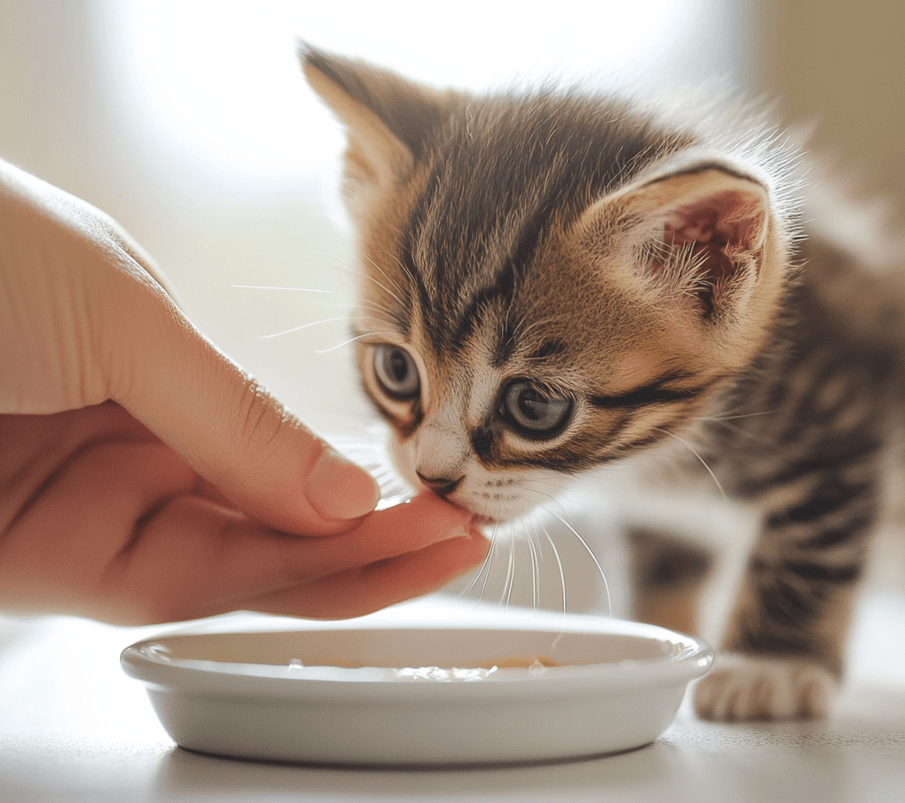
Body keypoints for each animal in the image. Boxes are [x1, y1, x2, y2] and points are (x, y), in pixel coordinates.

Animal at [304, 44, 904, 724]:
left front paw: (771, 665)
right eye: (397, 371)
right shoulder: (663, 518)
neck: (663, 451)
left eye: (534, 405)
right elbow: (665, 566)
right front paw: (659, 635)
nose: (432, 477)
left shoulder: (841, 421)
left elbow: (811, 548)